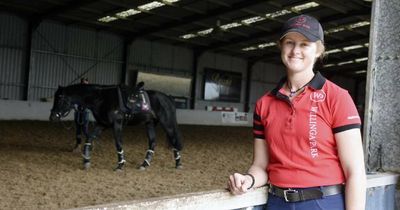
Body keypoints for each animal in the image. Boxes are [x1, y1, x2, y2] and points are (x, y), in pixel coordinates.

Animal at [48, 82, 184, 171]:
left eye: (60, 98)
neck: (102, 98)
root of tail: (168, 98)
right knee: (152, 142)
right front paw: (86, 161)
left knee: (173, 140)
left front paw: (120, 165)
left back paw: (178, 164)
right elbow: (89, 139)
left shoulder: (116, 124)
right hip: (150, 123)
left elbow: (118, 143)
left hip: (167, 123)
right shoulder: (102, 124)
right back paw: (144, 165)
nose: (52, 117)